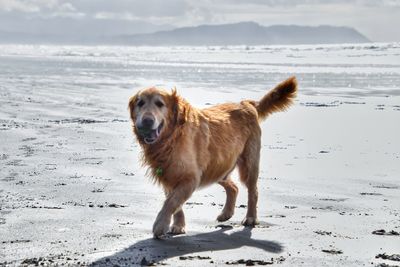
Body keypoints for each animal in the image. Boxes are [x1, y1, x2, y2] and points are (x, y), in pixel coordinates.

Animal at [128, 77, 296, 239]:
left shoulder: (190, 177)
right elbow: (176, 203)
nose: (147, 121)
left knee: (253, 191)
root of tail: (246, 104)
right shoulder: (168, 176)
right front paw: (178, 225)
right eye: (140, 103)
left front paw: (160, 225)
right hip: (218, 167)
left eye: (160, 104)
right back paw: (226, 213)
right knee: (233, 187)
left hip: (248, 164)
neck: (170, 139)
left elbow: (171, 202)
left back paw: (250, 218)